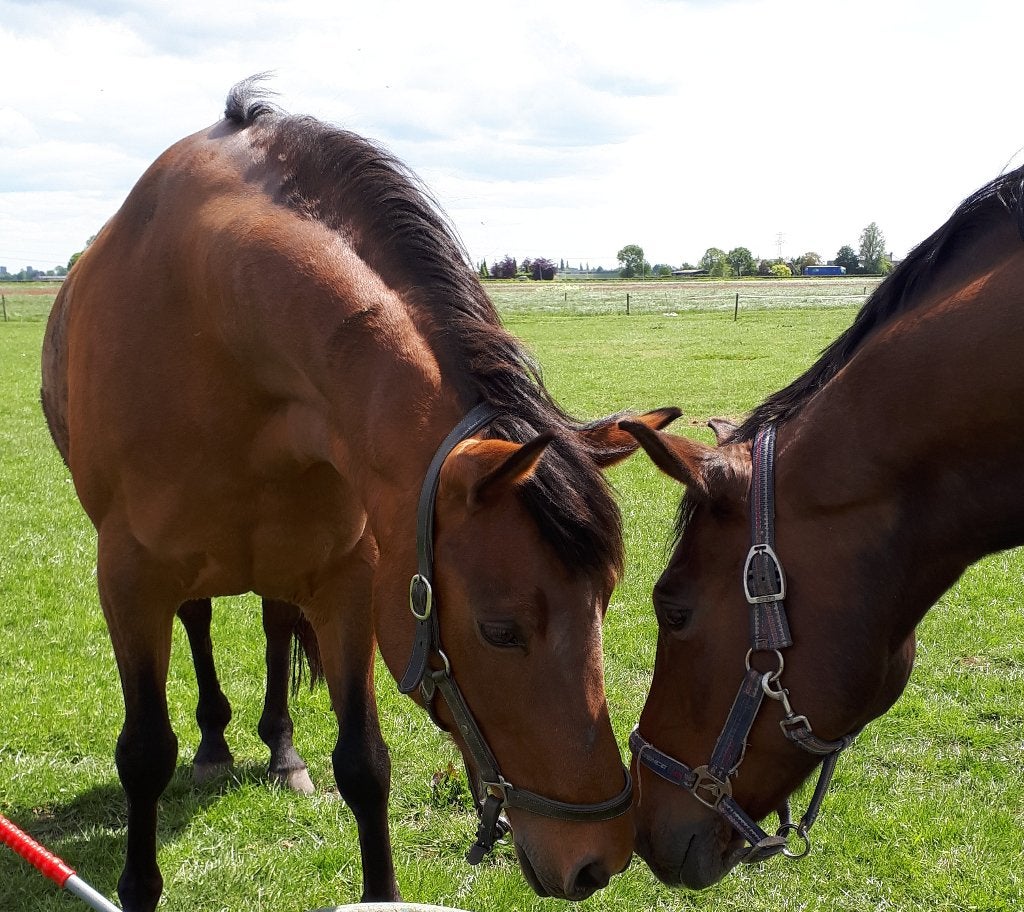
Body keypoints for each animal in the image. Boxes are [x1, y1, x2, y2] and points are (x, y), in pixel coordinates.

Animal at [40, 76, 676, 912]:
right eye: (500, 630)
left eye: (605, 600)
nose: (599, 857)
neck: (215, 329)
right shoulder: (128, 581)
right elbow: (144, 753)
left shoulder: (349, 579)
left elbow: (365, 762)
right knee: (200, 622)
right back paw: (214, 742)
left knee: (275, 625)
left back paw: (280, 749)